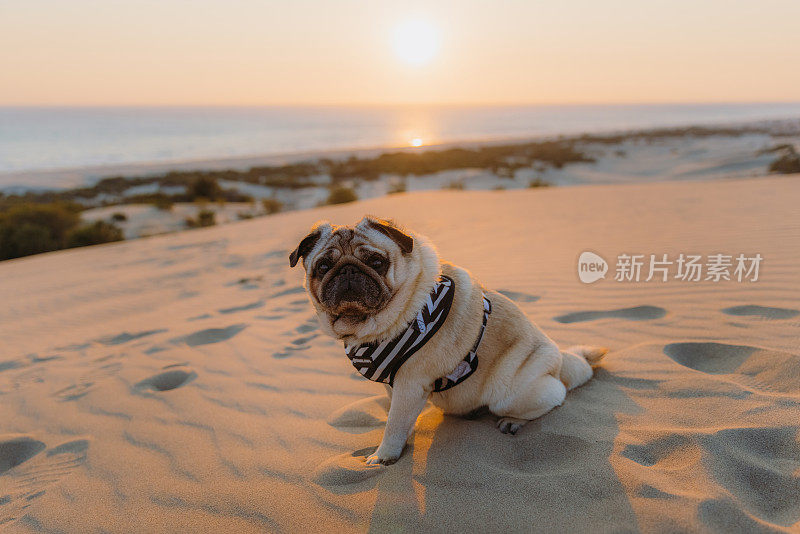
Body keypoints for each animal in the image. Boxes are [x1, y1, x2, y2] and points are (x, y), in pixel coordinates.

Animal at [290, 217, 608, 464]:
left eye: (376, 262)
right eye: (323, 267)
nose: (347, 270)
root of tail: (559, 358)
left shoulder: (410, 384)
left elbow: (394, 424)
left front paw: (384, 456)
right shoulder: (395, 387)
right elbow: (397, 417)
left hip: (509, 393)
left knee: (556, 394)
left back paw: (514, 421)